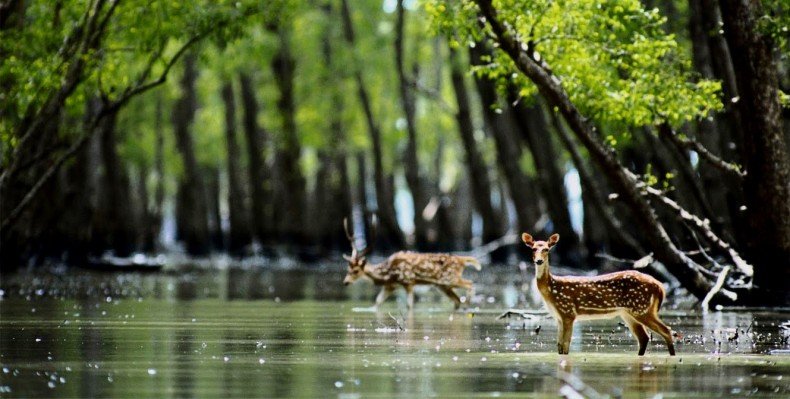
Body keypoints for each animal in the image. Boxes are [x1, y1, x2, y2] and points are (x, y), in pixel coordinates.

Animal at [342, 220, 482, 310]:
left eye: (356, 270)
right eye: (347, 269)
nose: (345, 282)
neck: (388, 274)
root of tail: (462, 260)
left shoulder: (408, 281)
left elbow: (409, 306)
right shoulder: (390, 286)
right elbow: (377, 303)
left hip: (449, 278)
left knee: (470, 284)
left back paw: (468, 305)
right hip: (443, 285)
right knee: (457, 299)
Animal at [524, 231, 676, 356]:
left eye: (546, 249)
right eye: (533, 248)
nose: (539, 261)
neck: (551, 290)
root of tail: (659, 286)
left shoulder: (568, 312)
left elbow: (566, 346)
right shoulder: (558, 317)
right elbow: (560, 346)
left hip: (642, 308)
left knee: (666, 331)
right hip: (630, 312)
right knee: (644, 337)